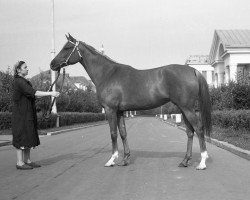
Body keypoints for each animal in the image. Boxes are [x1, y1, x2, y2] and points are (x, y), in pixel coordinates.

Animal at [50, 33, 211, 170]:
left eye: (67, 48)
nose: (52, 64)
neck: (108, 74)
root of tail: (192, 70)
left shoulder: (110, 109)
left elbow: (113, 133)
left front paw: (111, 160)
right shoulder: (120, 111)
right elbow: (123, 133)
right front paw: (125, 159)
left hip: (187, 108)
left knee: (199, 129)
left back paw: (202, 162)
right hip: (183, 108)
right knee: (190, 132)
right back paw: (185, 161)